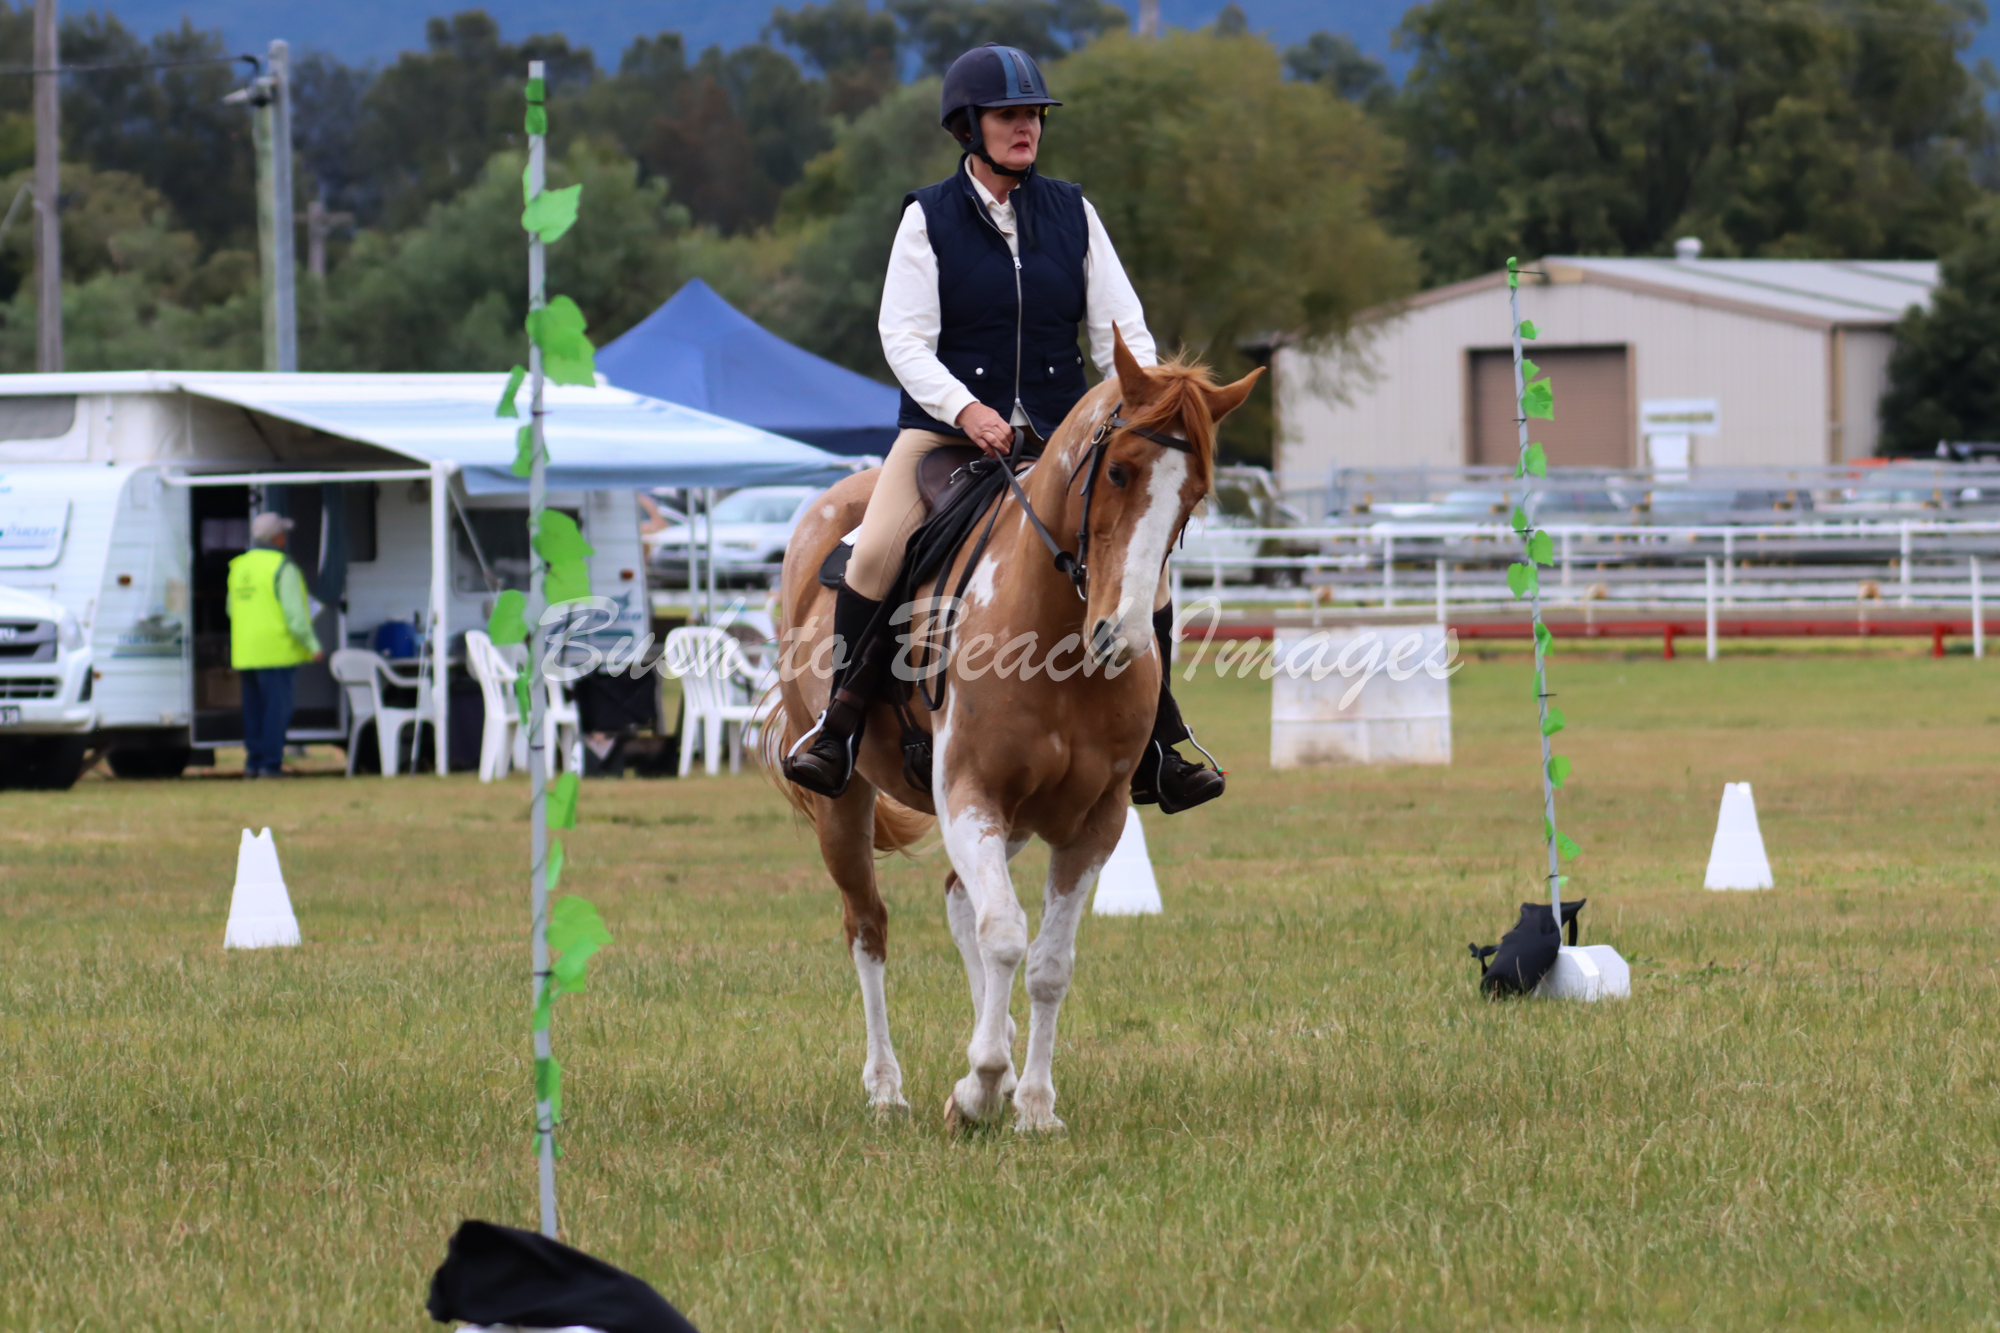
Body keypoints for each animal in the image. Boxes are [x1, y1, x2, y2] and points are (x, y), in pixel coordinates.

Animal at [767, 331, 1261, 1131]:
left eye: (1194, 496)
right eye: (1118, 471)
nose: (1120, 638)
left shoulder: (1094, 819)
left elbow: (1048, 962)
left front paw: (1030, 1103)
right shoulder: (972, 791)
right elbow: (1005, 935)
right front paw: (979, 1087)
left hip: (1021, 817)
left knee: (958, 899)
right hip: (846, 803)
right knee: (868, 925)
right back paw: (887, 1086)